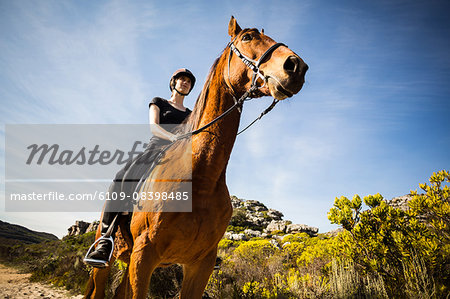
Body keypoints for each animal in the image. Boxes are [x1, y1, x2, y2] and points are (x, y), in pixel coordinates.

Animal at [84, 17, 308, 299]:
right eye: (247, 37)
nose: (296, 66)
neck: (201, 178)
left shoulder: (200, 264)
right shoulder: (144, 256)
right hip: (108, 263)